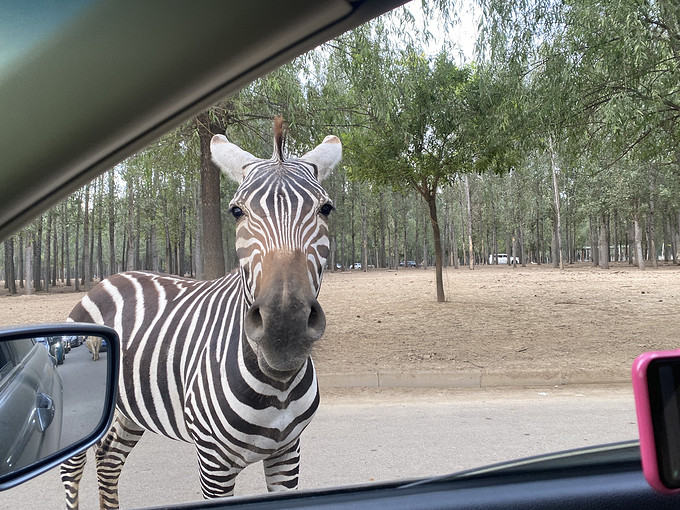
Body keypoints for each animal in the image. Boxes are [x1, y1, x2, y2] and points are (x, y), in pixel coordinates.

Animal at [61, 117, 342, 508]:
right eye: (237, 211)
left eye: (325, 209)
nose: (284, 328)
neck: (278, 387)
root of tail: (110, 278)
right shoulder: (213, 463)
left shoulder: (287, 454)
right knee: (73, 473)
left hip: (130, 408)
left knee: (108, 457)